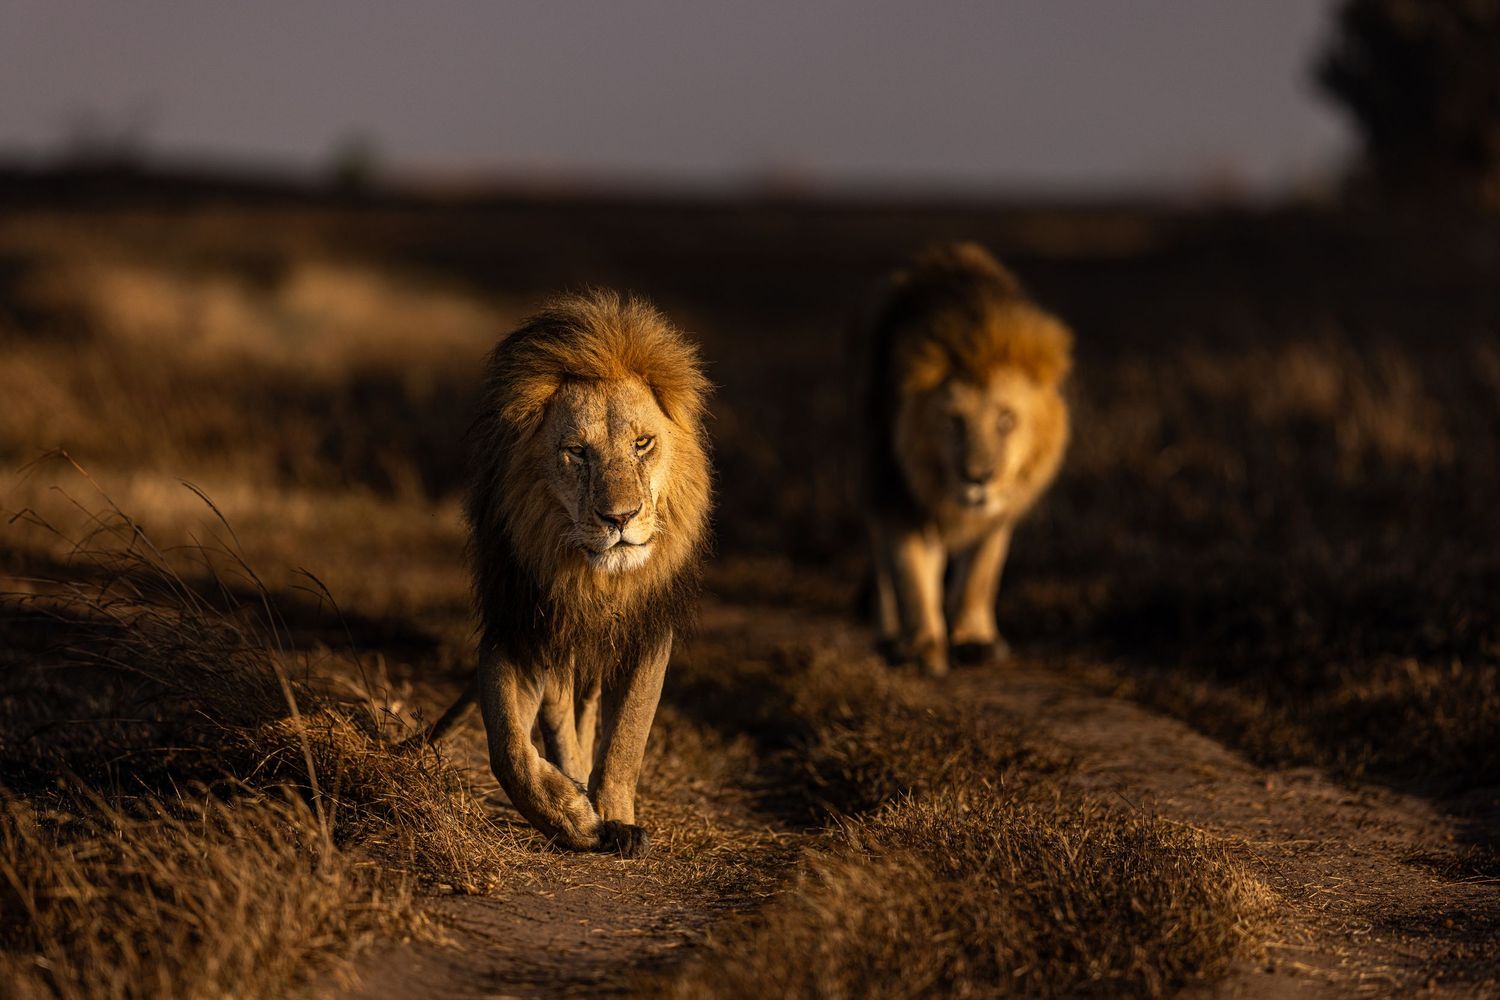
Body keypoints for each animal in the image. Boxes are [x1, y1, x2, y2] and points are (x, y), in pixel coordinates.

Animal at [419, 290, 711, 858]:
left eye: (643, 444)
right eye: (577, 452)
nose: (620, 518)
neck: (594, 579)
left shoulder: (647, 631)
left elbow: (627, 737)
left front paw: (615, 816)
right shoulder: (516, 625)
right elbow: (509, 746)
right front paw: (573, 815)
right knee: (557, 709)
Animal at [853, 242, 1071, 677]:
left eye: (1006, 420)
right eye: (953, 422)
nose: (978, 478)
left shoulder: (1003, 506)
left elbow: (981, 572)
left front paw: (974, 640)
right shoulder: (895, 489)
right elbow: (909, 570)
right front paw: (923, 648)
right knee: (884, 560)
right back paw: (889, 634)